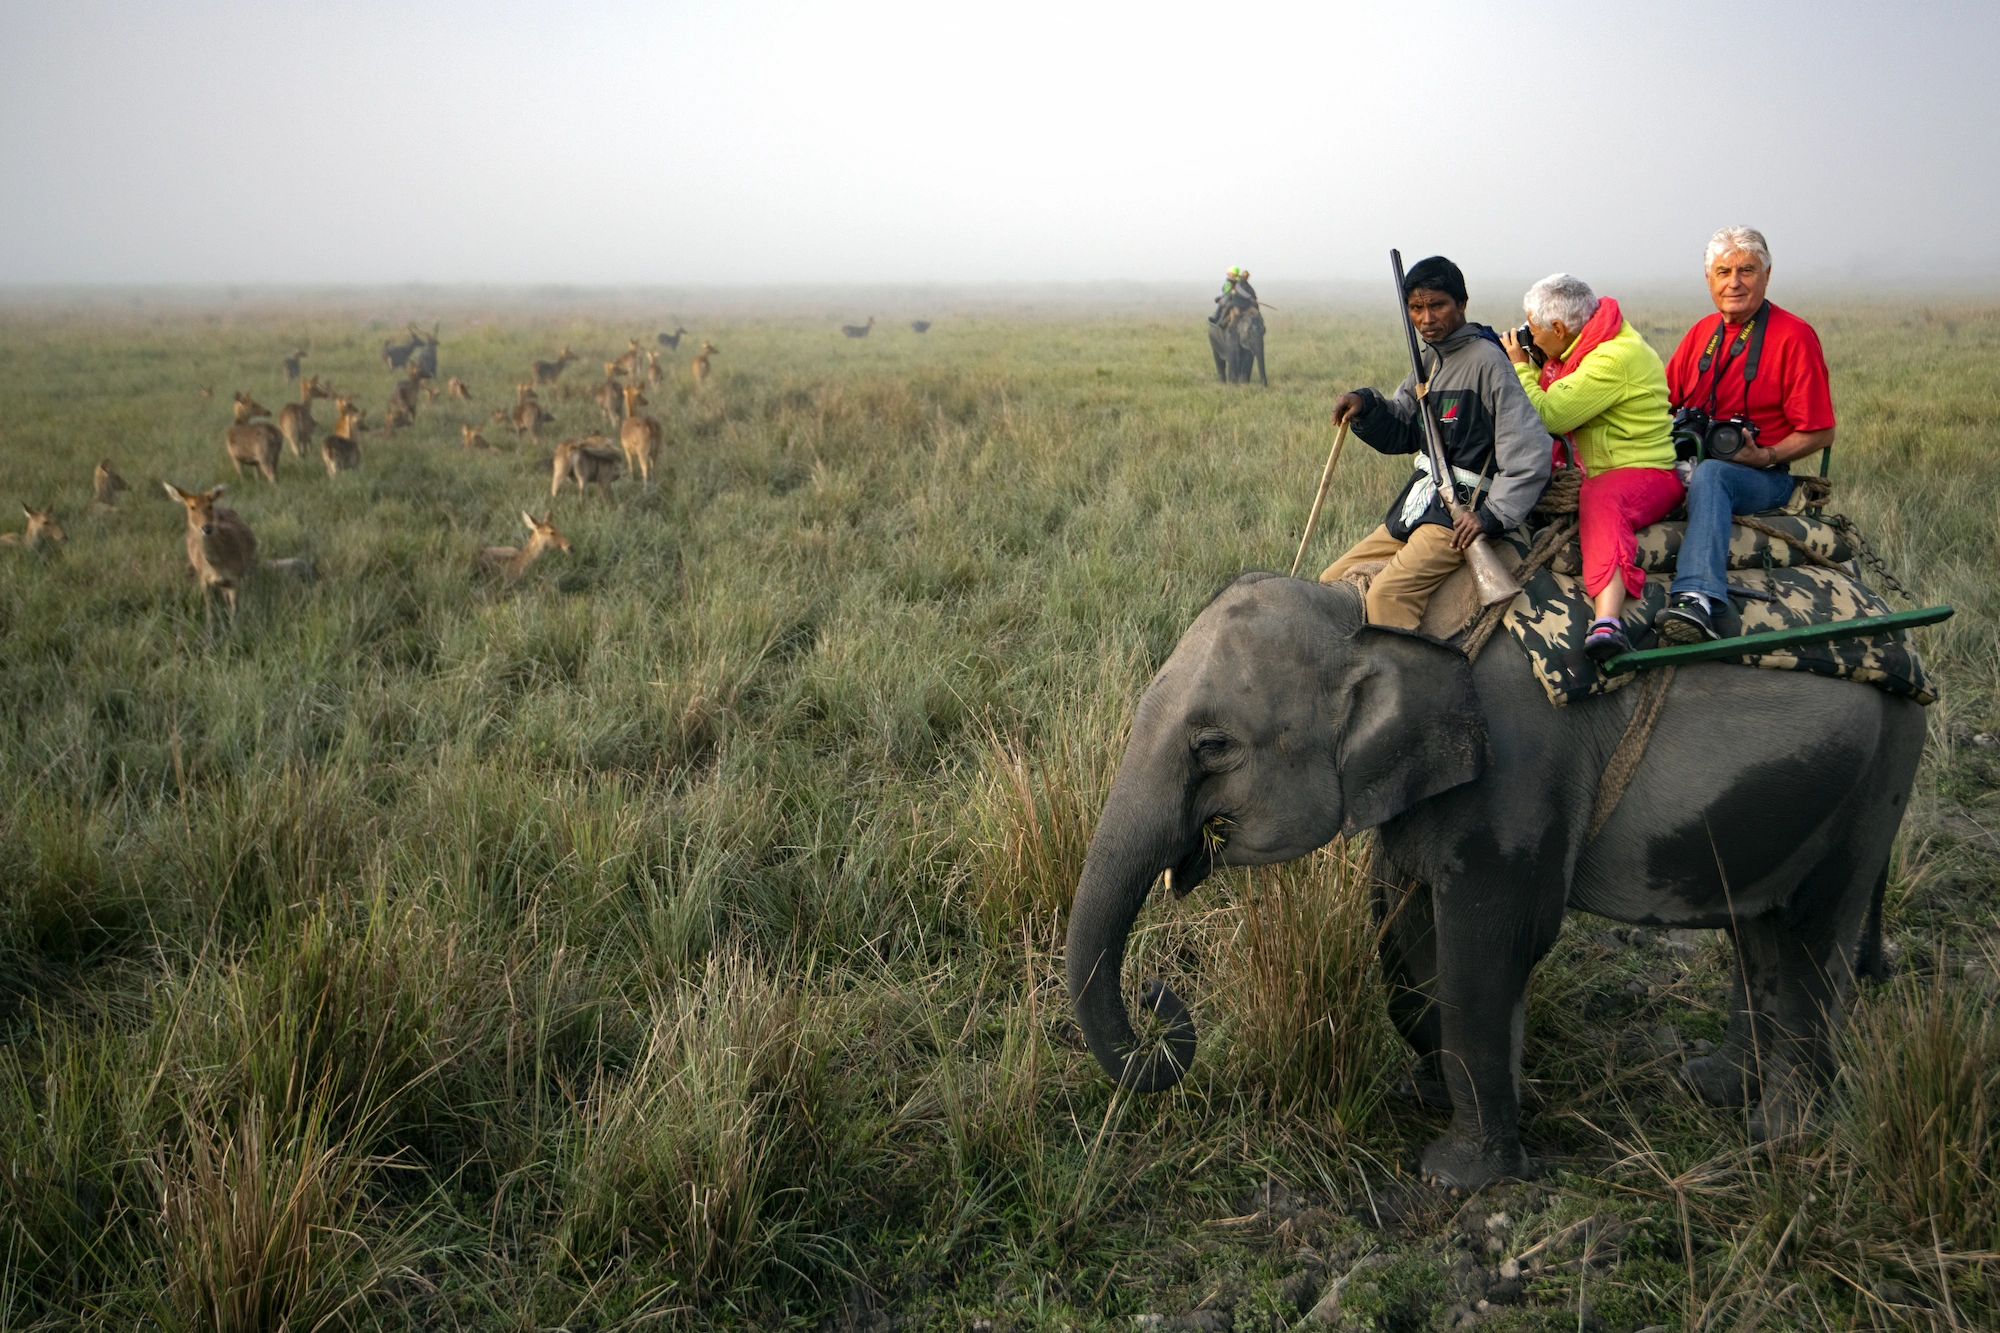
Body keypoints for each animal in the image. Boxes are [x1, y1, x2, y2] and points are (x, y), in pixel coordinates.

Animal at [1065, 573, 1924, 1189]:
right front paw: (1435, 1093)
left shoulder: (1517, 769)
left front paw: (1457, 1178)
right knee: (1759, 929)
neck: (1373, 612)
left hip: (1881, 766)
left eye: (1212, 746)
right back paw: (1712, 1086)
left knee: (1812, 932)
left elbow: (1489, 941)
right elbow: (1403, 926)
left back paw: (1778, 1136)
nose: (1157, 995)